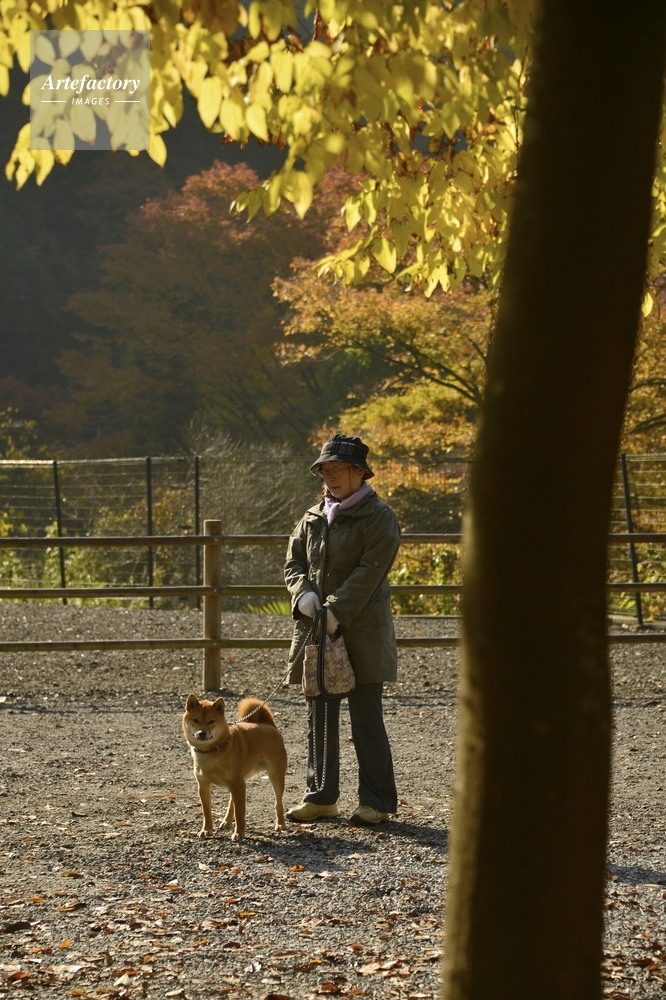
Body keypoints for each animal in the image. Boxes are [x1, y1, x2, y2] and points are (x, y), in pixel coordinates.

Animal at [182, 694, 287, 840]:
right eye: (195, 720)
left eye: (211, 721)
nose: (202, 733)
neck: (211, 752)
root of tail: (268, 724)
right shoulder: (204, 786)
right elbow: (207, 812)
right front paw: (206, 830)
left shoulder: (237, 785)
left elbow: (240, 813)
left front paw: (239, 833)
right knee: (232, 801)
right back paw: (226, 821)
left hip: (275, 777)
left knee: (278, 803)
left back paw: (280, 824)